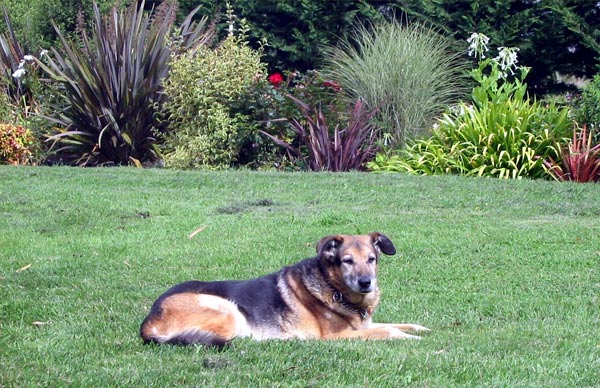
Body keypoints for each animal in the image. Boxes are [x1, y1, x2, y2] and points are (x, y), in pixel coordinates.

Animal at [139, 232, 432, 348]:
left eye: (372, 259)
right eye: (347, 261)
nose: (366, 282)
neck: (333, 287)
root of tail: (148, 322)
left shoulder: (363, 325)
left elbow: (399, 323)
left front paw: (421, 329)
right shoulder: (339, 336)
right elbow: (388, 331)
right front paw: (411, 339)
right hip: (228, 310)